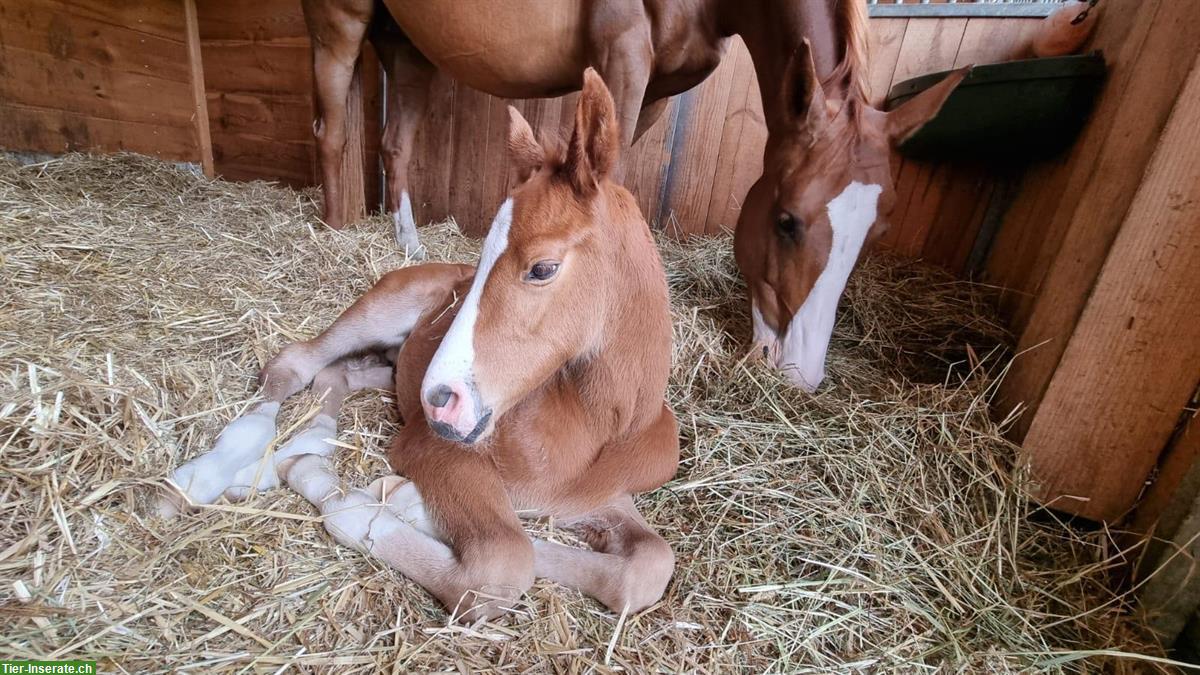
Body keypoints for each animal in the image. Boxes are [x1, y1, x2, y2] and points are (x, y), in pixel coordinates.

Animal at [159, 69, 681, 619]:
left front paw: (396, 498)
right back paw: (204, 477)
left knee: (341, 375)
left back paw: (299, 452)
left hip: (389, 365)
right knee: (295, 363)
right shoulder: (433, 448)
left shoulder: (595, 497)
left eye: (542, 268)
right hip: (376, 314)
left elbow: (648, 567)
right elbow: (501, 563)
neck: (599, 424)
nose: (439, 399)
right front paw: (356, 503)